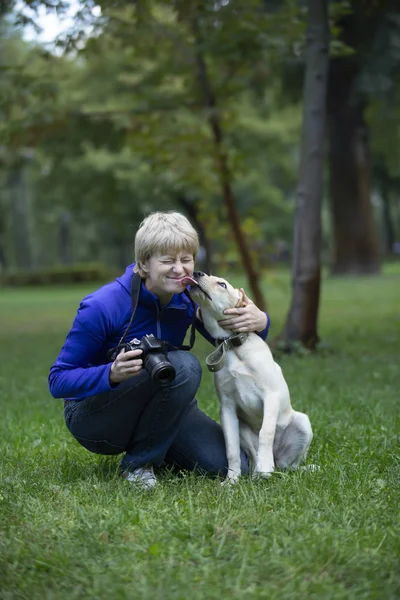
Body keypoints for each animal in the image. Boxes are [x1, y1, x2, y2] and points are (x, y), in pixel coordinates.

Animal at [189, 272, 314, 482]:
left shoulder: (270, 396)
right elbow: (231, 448)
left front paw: (265, 468)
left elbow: (266, 432)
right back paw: (256, 475)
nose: (197, 273)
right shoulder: (227, 407)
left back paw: (277, 468)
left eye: (222, 284)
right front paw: (231, 481)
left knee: (289, 465)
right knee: (254, 456)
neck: (232, 346)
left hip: (302, 423)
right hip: (243, 428)